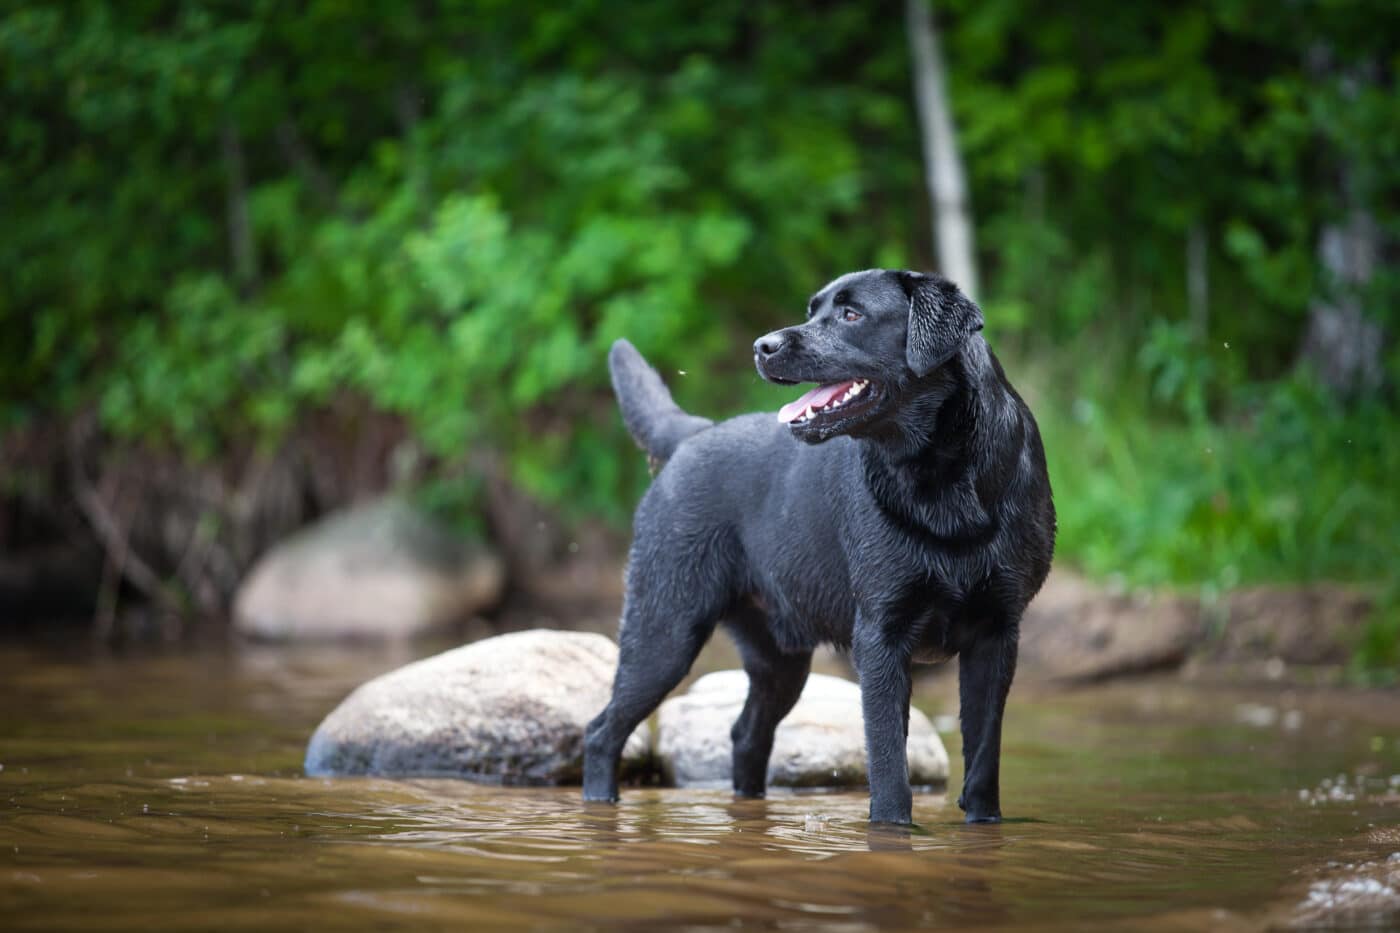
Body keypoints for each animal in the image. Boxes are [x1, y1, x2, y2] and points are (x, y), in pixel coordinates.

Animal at [579, 267, 1052, 823]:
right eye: (812, 311)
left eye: (851, 314)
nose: (762, 346)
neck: (944, 481)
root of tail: (690, 436)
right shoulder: (880, 636)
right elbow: (888, 762)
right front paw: (892, 829)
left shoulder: (997, 633)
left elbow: (982, 759)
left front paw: (983, 824)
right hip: (665, 631)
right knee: (601, 732)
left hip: (778, 662)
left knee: (745, 736)